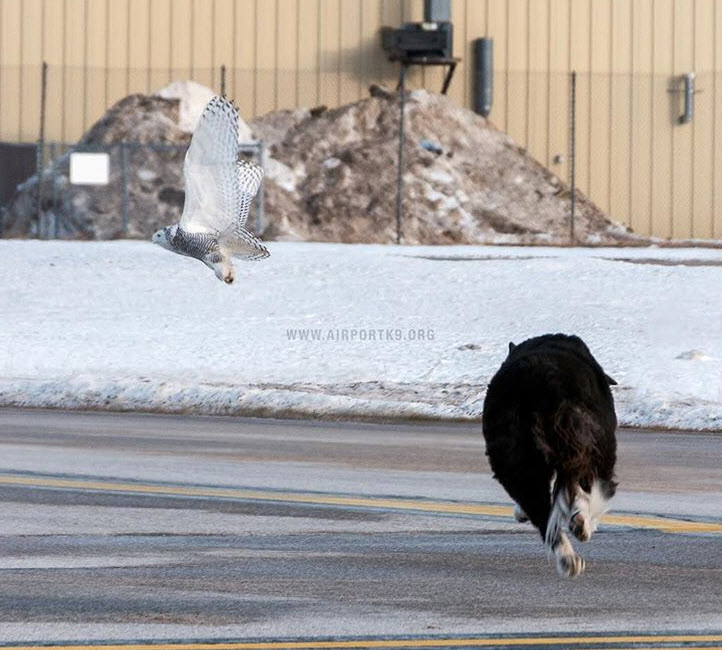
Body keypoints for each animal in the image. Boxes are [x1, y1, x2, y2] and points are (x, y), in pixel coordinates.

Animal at [480, 332, 616, 576]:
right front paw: (584, 519)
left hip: (514, 460)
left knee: (538, 509)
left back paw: (568, 559)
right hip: (590, 441)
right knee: (596, 484)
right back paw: (580, 530)